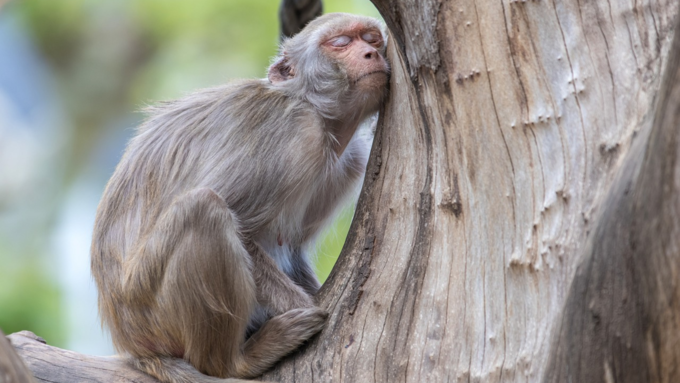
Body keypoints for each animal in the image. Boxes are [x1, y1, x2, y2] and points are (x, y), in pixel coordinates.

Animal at [90, 12, 388, 383]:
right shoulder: (292, 133)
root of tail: (133, 346)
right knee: (204, 209)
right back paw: (236, 361)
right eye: (341, 43)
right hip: (150, 310)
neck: (316, 112)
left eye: (372, 39)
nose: (371, 53)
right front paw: (306, 307)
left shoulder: (350, 160)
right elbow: (241, 227)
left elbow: (292, 246)